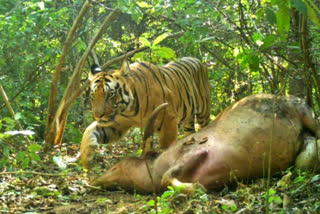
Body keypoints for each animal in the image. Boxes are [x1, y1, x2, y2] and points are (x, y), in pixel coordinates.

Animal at [80, 56, 211, 169]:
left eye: (110, 94)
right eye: (93, 95)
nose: (97, 115)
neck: (129, 110)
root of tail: (196, 59)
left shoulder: (168, 120)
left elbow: (166, 146)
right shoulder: (117, 124)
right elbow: (89, 130)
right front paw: (86, 159)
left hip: (203, 113)